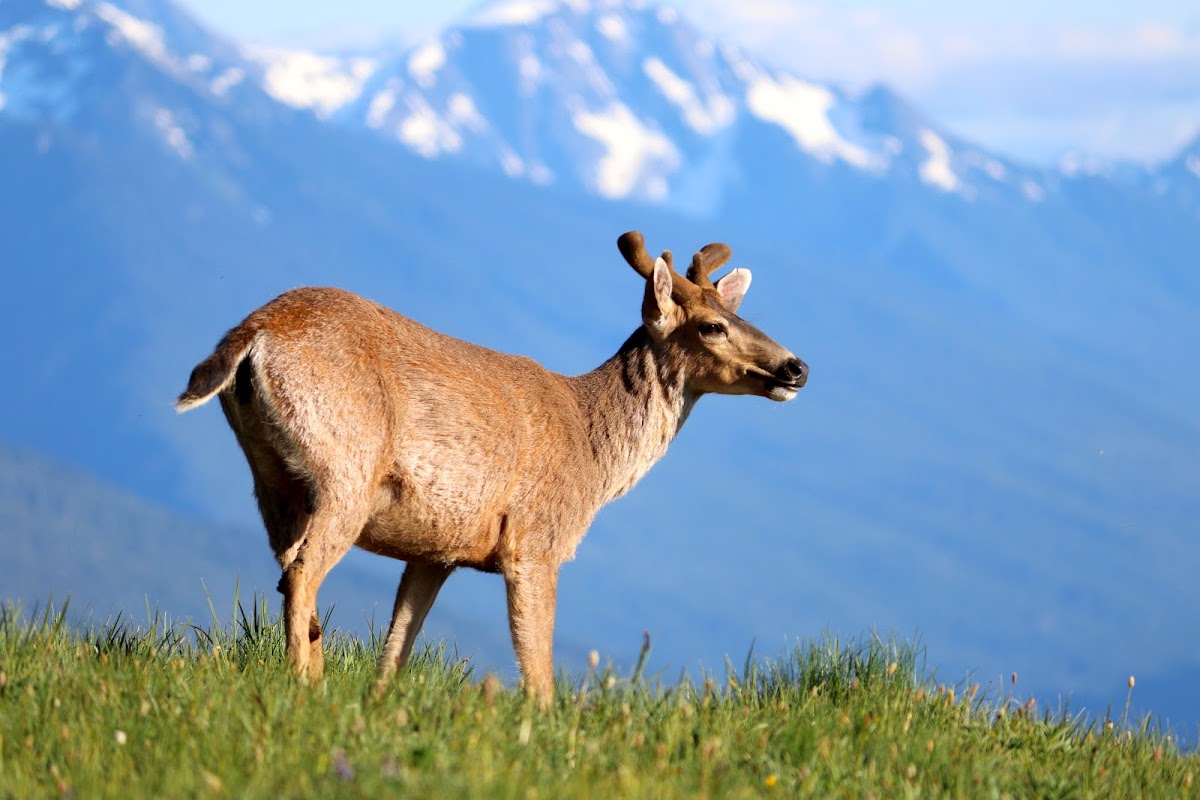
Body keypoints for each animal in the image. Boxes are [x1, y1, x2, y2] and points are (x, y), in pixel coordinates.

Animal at [175, 227, 806, 705]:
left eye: (739, 314)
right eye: (712, 326)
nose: (796, 367)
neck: (592, 451)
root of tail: (254, 332)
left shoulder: (438, 550)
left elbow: (398, 645)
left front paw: (378, 705)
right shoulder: (536, 541)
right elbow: (538, 664)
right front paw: (545, 731)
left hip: (273, 483)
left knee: (288, 572)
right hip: (345, 472)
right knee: (304, 574)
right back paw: (303, 686)